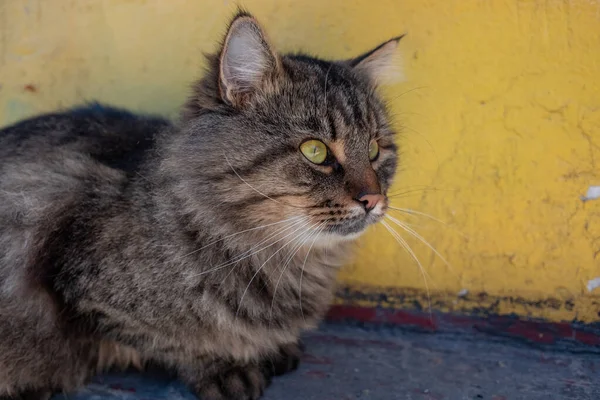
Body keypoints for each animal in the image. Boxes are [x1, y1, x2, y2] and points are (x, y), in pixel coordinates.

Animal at [0, 8, 404, 400]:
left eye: (374, 150)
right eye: (315, 151)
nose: (373, 199)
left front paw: (274, 348)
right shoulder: (84, 288)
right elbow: (173, 341)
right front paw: (228, 367)